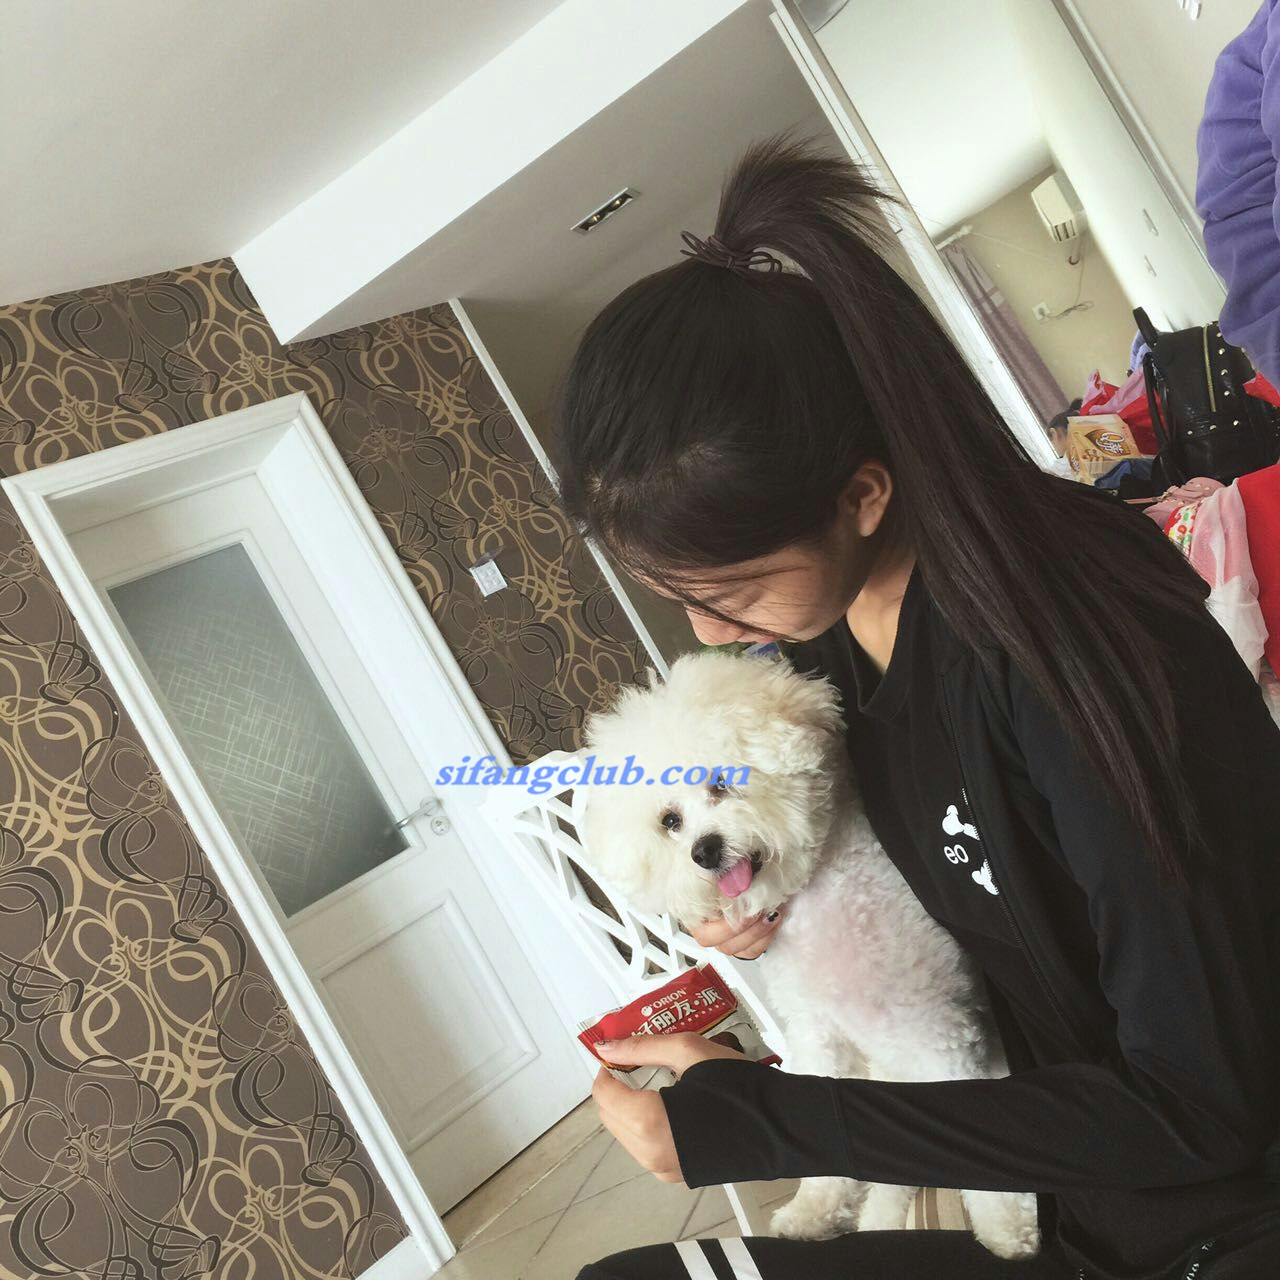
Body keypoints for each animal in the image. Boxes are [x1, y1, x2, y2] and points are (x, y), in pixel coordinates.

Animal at [580, 649, 1040, 1259]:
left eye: (722, 784)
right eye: (670, 821)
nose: (705, 851)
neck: (824, 892)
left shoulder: (939, 1034)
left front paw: (1007, 1225)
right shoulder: (821, 1037)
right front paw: (813, 1208)